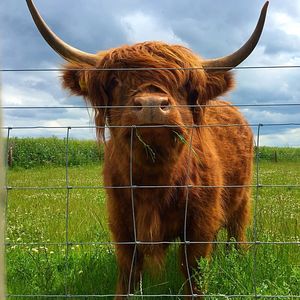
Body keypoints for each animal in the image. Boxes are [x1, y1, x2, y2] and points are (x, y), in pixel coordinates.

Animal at [27, 1, 268, 298]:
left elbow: (194, 272)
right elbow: (128, 271)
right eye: (115, 81)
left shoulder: (199, 223)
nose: (152, 104)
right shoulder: (121, 221)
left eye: (185, 85)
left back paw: (239, 258)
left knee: (237, 231)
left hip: (242, 197)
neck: (154, 181)